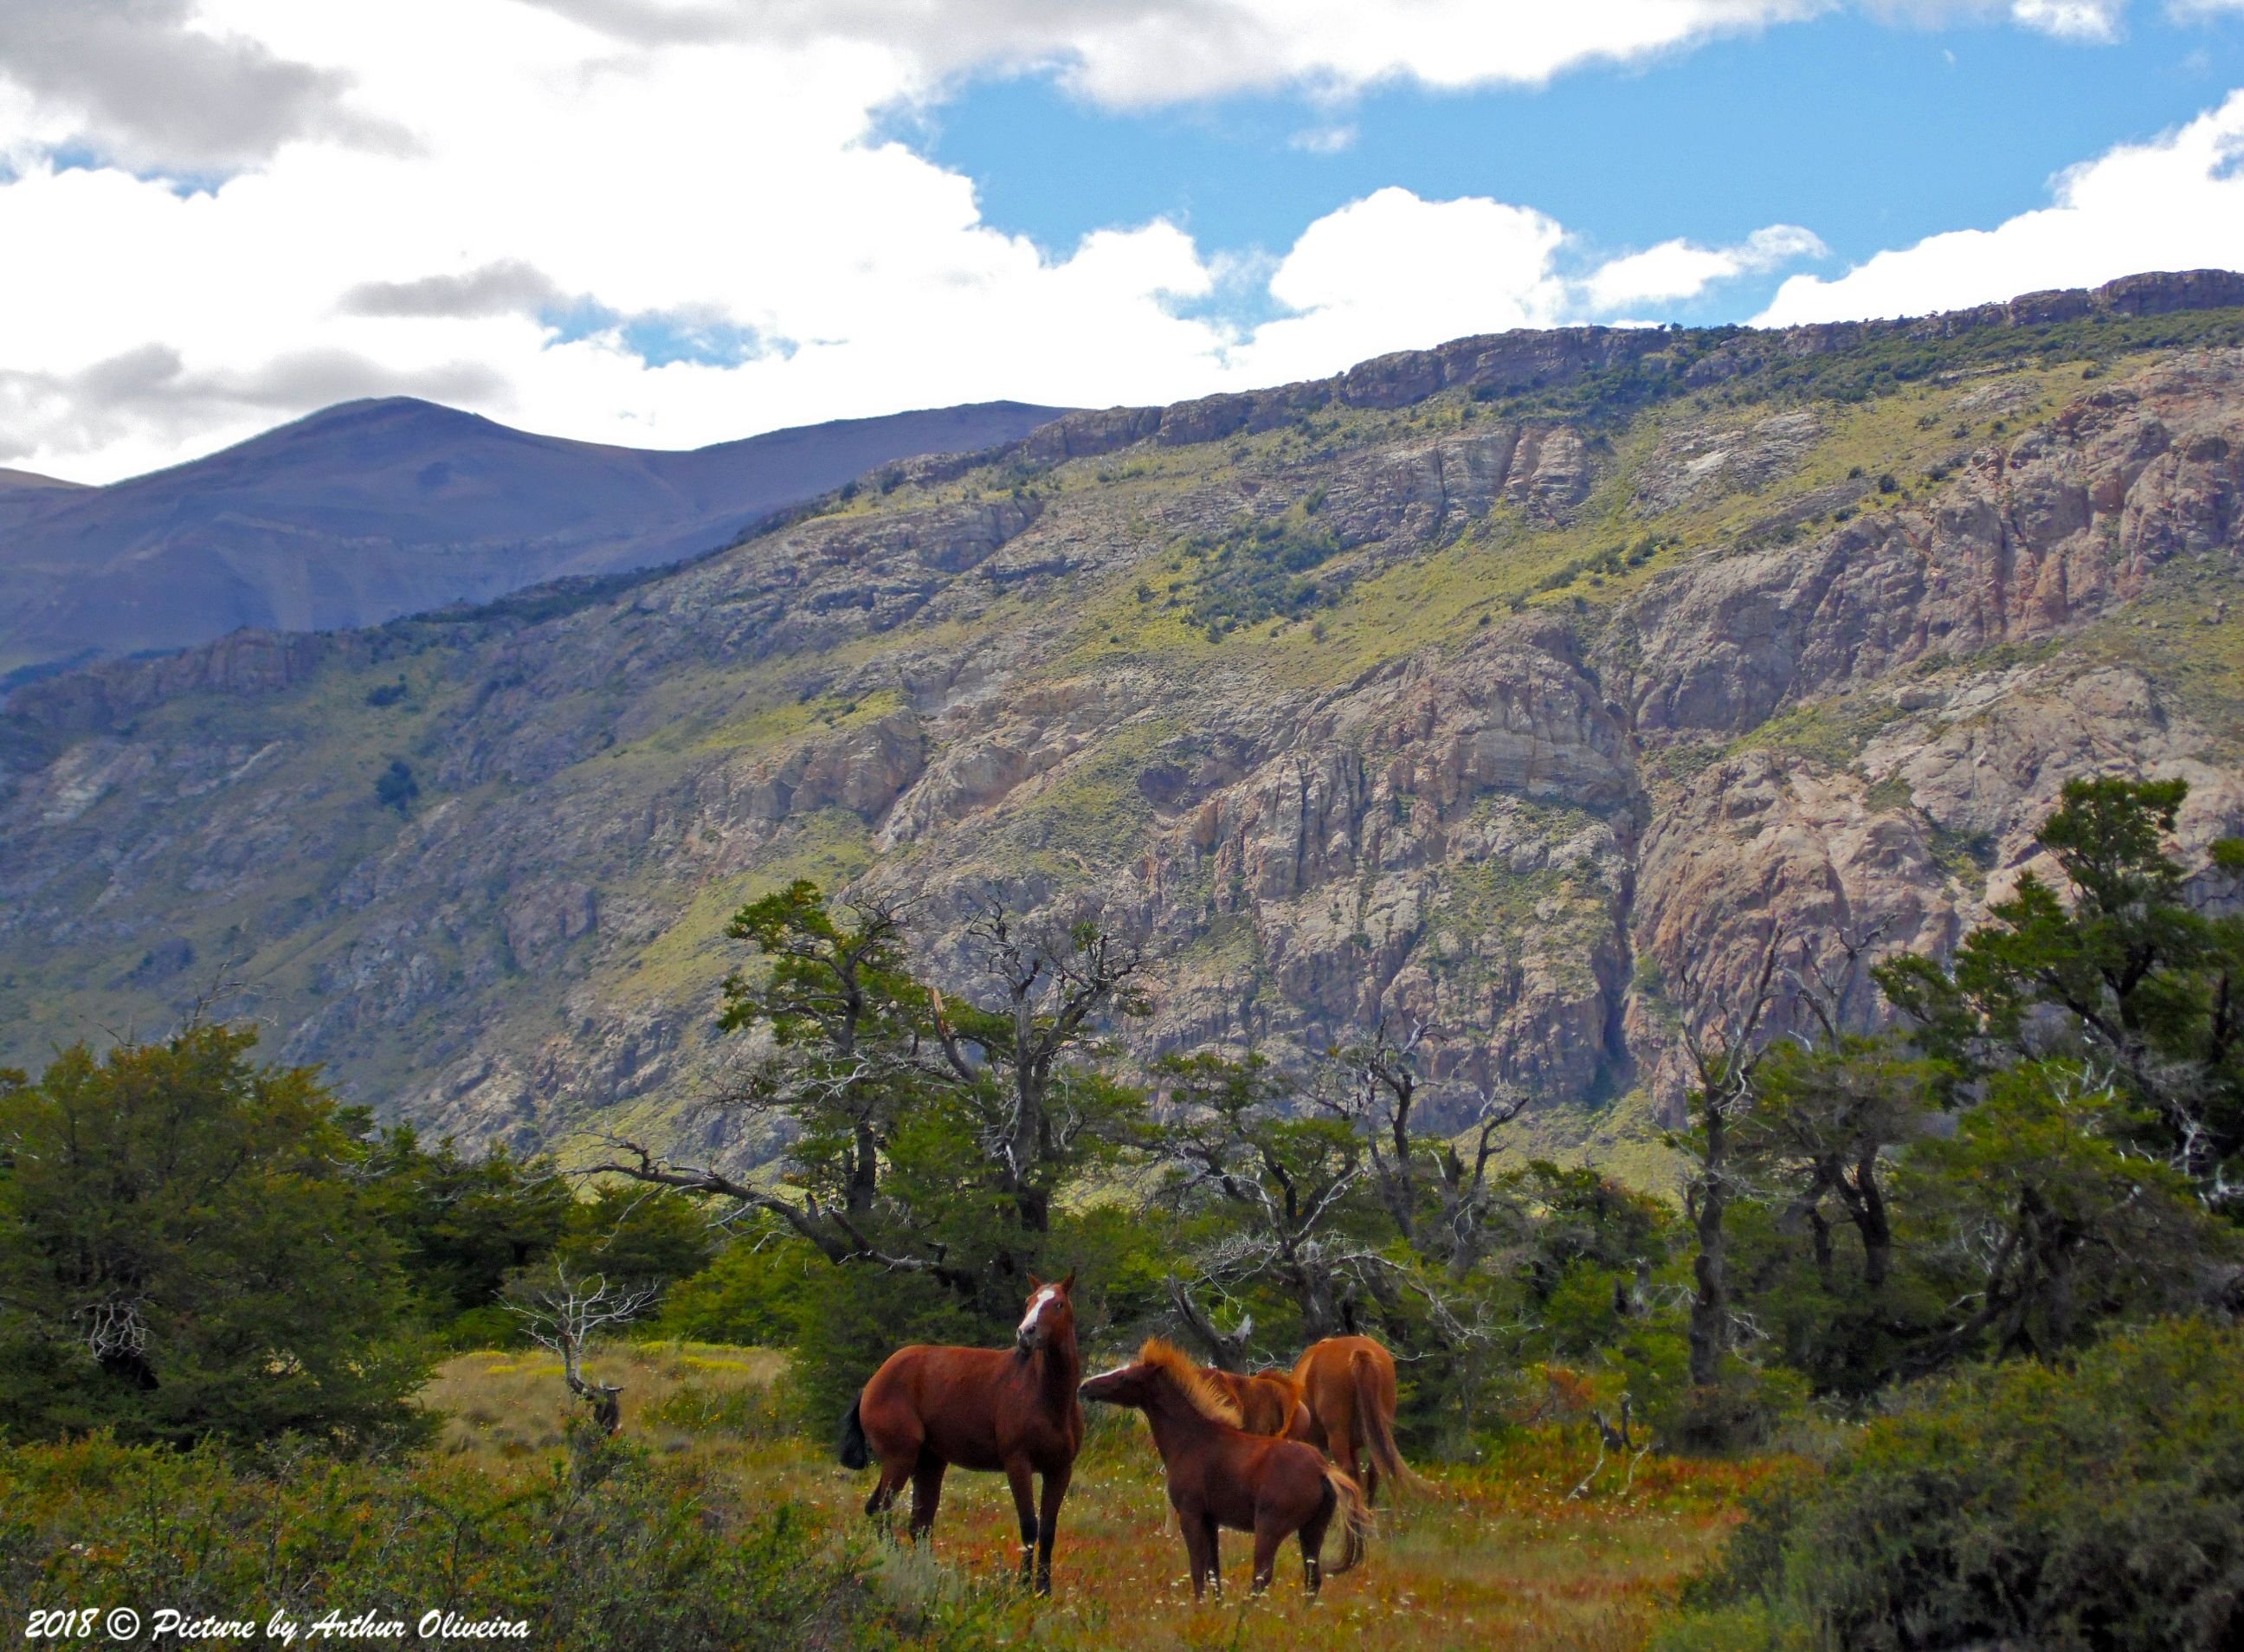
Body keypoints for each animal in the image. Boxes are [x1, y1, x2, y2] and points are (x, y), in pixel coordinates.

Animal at [843, 1274, 1086, 1597]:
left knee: (917, 1524)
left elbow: (1047, 1530)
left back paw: (929, 1573)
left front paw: (1043, 1590)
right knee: (883, 1511)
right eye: (1029, 1301)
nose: (1025, 1333)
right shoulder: (1017, 1464)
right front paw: (1023, 1587)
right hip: (900, 1459)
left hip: (929, 1463)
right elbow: (1028, 1525)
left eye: (1057, 1304)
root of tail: (873, 1382)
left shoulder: (1059, 1470)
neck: (1047, 1398)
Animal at [1081, 1346, 1373, 1597]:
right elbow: (1214, 1573)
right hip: (1312, 1529)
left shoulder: (1190, 1514)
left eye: (1125, 1377)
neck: (1191, 1438)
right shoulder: (1211, 1520)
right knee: (1312, 1580)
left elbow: (1198, 1572)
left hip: (1270, 1528)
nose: (1085, 1387)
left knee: (1262, 1577)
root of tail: (1323, 1471)